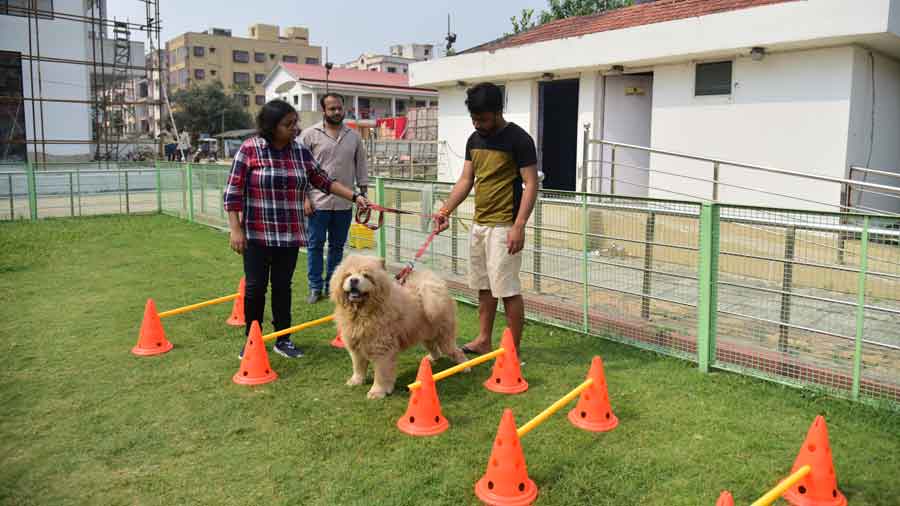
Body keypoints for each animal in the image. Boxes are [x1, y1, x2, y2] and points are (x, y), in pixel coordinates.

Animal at [332, 256, 472, 400]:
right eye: (348, 275)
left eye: (366, 275)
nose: (354, 280)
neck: (363, 313)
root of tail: (439, 286)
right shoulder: (355, 346)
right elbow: (358, 367)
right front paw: (355, 381)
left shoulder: (382, 350)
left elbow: (381, 374)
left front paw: (377, 392)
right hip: (426, 335)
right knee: (434, 349)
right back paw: (431, 359)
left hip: (444, 337)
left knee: (456, 351)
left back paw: (465, 367)